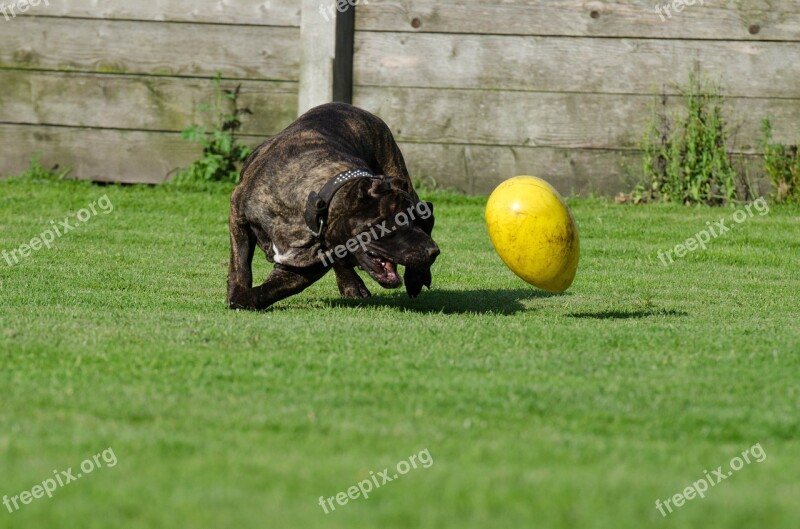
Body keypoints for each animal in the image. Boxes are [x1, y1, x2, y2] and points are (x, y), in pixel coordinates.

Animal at [225, 101, 440, 312]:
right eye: (390, 224)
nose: (433, 251)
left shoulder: (307, 266)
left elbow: (271, 289)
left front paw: (244, 298)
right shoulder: (238, 214)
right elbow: (240, 262)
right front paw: (238, 292)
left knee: (428, 213)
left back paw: (414, 278)